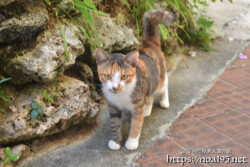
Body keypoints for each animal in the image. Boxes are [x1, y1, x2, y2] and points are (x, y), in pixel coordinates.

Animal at [95, 9, 176, 151]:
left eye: (124, 76)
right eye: (107, 76)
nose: (115, 87)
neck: (121, 95)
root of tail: (150, 45)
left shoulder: (137, 107)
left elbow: (136, 125)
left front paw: (132, 142)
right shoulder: (113, 107)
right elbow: (115, 125)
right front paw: (116, 142)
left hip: (160, 77)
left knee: (164, 86)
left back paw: (164, 101)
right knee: (149, 95)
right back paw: (147, 109)